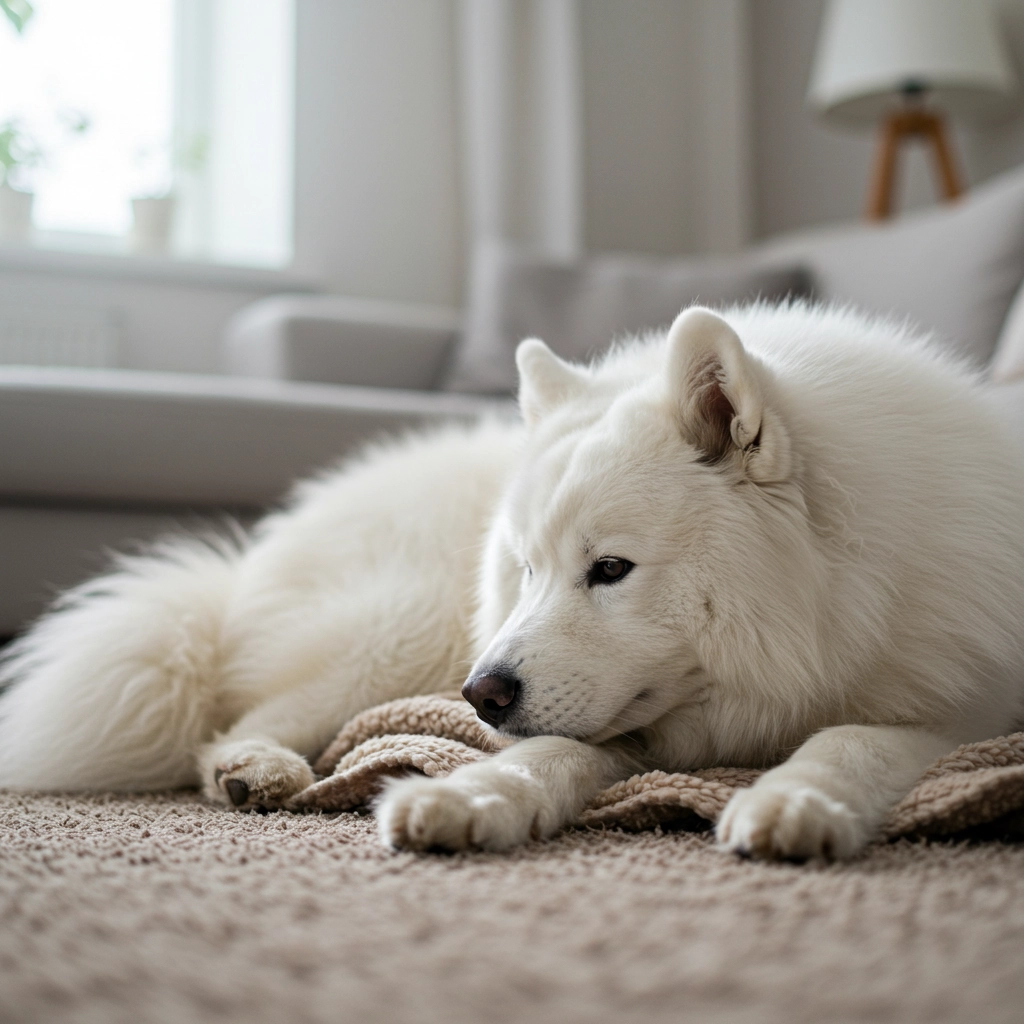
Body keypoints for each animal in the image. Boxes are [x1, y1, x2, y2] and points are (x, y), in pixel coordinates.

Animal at [2, 299, 1024, 860]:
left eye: (610, 570)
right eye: (528, 570)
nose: (480, 695)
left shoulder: (964, 705)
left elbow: (853, 739)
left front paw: (792, 800)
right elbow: (546, 755)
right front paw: (463, 797)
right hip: (401, 626)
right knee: (241, 718)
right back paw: (257, 769)